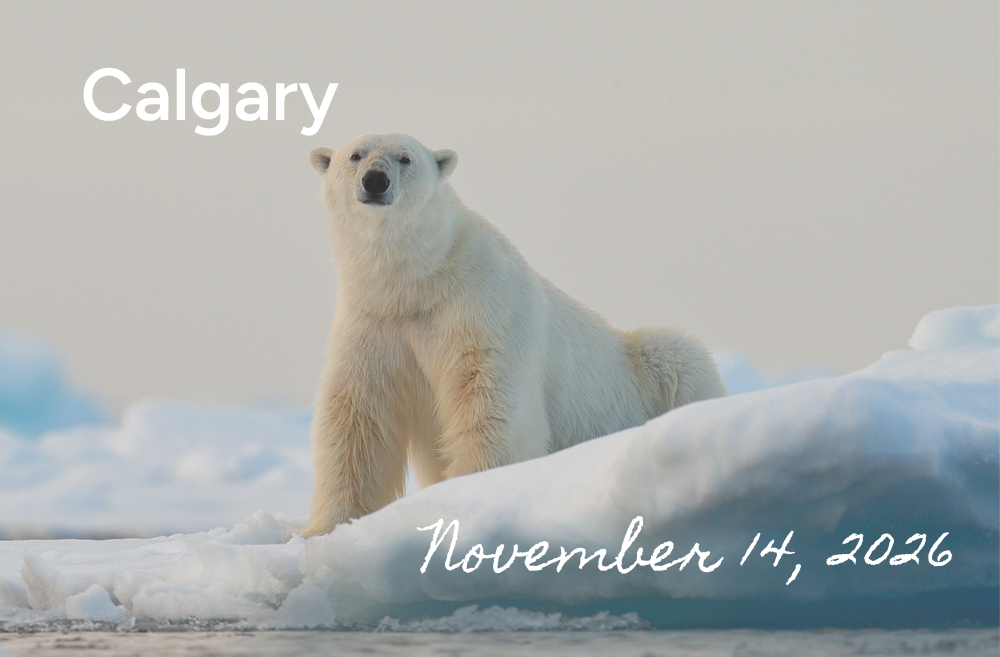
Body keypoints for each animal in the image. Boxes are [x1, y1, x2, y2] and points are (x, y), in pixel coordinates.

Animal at [300, 134, 726, 538]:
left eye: (405, 158)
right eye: (355, 155)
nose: (375, 180)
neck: (418, 283)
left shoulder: (482, 305)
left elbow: (487, 400)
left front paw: (474, 494)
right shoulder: (373, 323)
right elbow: (358, 418)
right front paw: (321, 529)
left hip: (646, 370)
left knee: (679, 357)